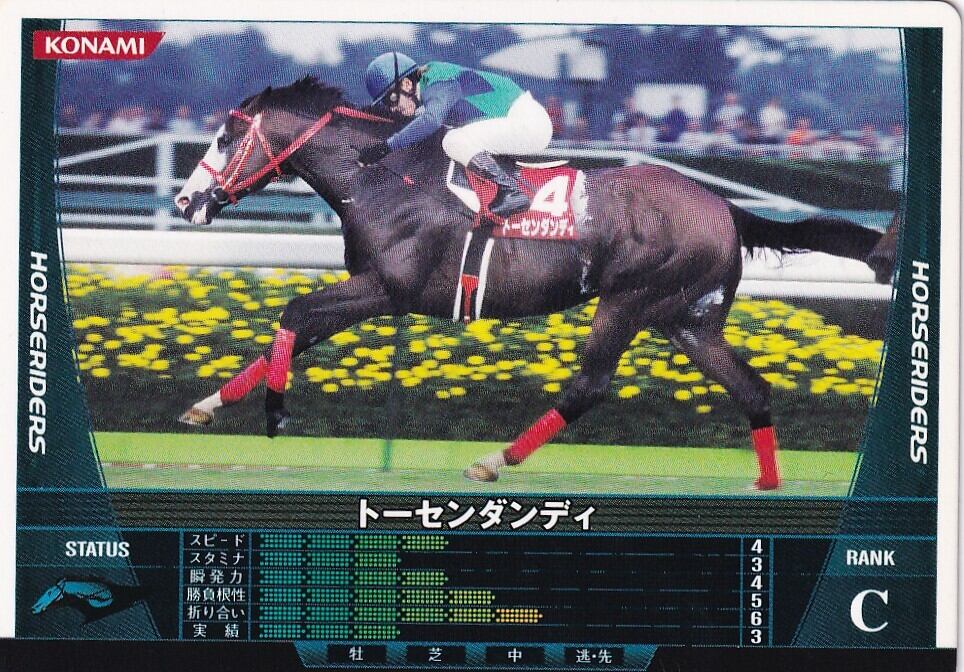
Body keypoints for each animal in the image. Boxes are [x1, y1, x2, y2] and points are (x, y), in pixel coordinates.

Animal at [174, 77, 892, 490]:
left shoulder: (389, 288)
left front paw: (274, 413)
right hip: (684, 317)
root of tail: (725, 208)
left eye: (225, 136)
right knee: (751, 387)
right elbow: (294, 329)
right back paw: (767, 484)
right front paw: (207, 406)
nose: (185, 202)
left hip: (630, 299)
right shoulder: (371, 289)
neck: (380, 173)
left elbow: (295, 313)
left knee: (591, 383)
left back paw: (495, 459)